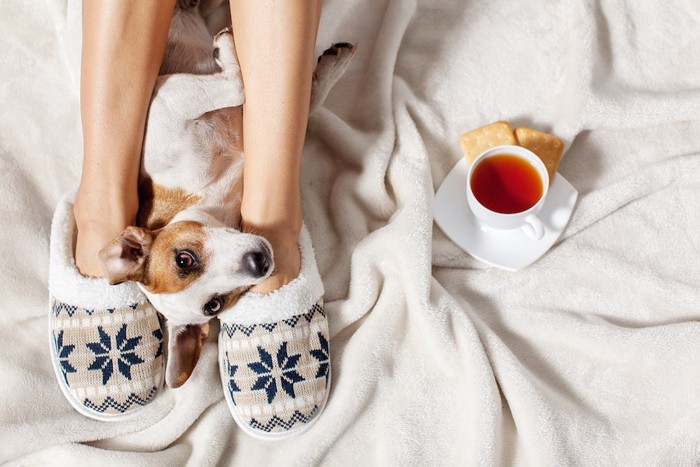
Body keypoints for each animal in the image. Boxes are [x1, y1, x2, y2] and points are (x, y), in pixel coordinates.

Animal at [95, 3, 356, 390]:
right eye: (214, 306)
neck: (213, 195)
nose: (258, 263)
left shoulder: (167, 101)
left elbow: (262, 93)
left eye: (183, 259)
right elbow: (248, 89)